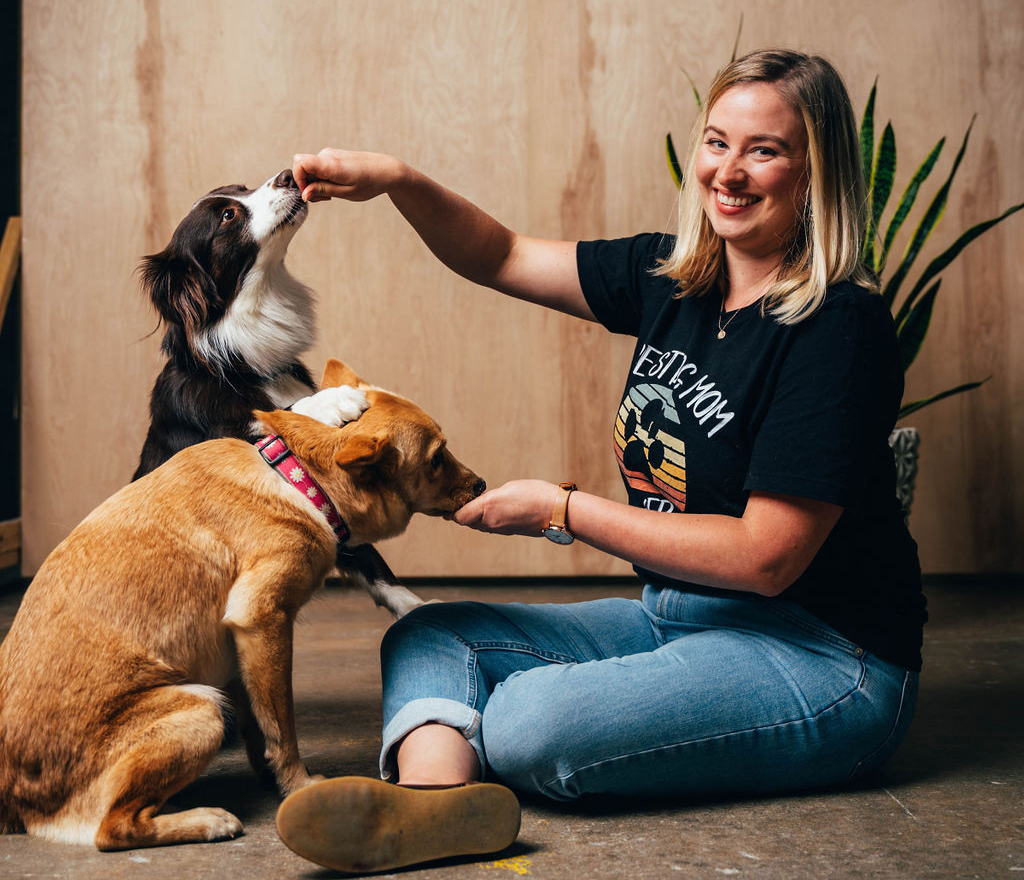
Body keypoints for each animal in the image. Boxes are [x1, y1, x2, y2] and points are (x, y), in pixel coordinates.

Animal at [0, 360, 483, 848]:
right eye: (437, 457)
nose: (482, 484)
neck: (297, 479)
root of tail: (12, 799)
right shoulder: (262, 621)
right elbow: (283, 727)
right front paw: (296, 785)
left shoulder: (240, 647)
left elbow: (261, 724)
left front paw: (272, 777)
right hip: (202, 709)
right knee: (114, 828)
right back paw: (207, 821)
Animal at [135, 169, 423, 614]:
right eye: (228, 216)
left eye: (241, 188)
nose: (288, 175)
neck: (243, 365)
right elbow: (276, 414)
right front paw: (332, 400)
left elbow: (369, 557)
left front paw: (420, 607)